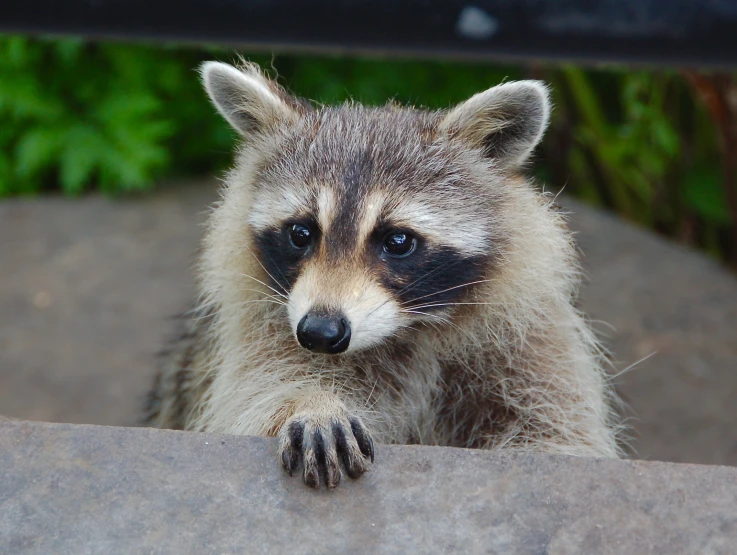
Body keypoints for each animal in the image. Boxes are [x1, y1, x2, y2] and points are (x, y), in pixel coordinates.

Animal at [144, 59, 620, 486]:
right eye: (301, 233)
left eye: (398, 241)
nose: (319, 333)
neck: (405, 330)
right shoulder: (258, 327)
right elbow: (255, 394)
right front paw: (311, 404)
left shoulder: (527, 342)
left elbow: (556, 430)